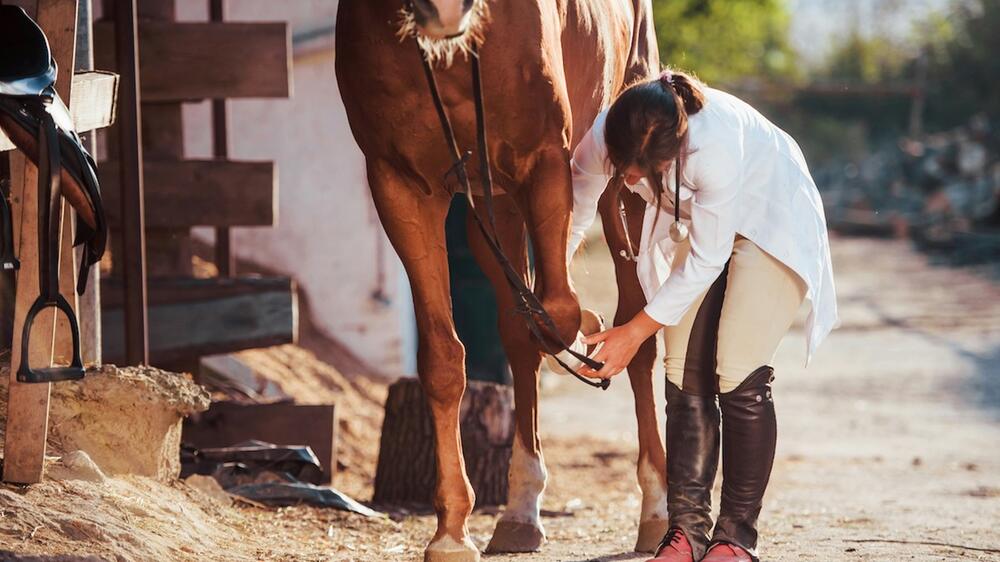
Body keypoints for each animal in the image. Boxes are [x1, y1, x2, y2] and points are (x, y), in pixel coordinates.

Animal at [340, 2, 668, 556]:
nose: (444, 10)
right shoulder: (401, 186)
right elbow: (445, 358)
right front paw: (451, 533)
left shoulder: (545, 162)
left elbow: (560, 312)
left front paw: (583, 332)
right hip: (496, 207)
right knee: (519, 336)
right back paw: (520, 512)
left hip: (624, 182)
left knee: (635, 332)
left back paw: (657, 507)